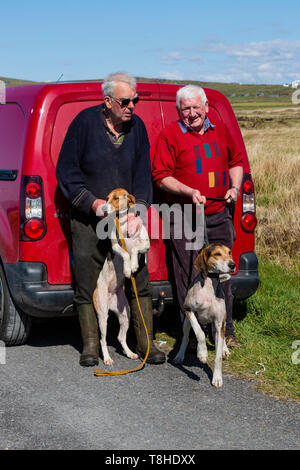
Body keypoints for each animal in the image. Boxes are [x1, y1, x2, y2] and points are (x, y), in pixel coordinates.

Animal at [92, 189, 150, 366]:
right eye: (106, 199)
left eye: (116, 198)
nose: (103, 209)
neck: (124, 224)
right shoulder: (116, 246)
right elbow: (125, 253)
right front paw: (127, 268)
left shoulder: (145, 244)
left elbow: (135, 249)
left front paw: (133, 265)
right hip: (102, 315)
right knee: (103, 339)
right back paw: (107, 358)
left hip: (126, 315)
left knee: (120, 337)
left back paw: (130, 353)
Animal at [175, 244, 236, 388]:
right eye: (217, 254)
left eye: (229, 252)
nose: (232, 264)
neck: (209, 286)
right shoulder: (188, 310)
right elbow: (200, 332)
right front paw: (202, 353)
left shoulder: (219, 323)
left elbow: (218, 357)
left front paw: (217, 377)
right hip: (186, 323)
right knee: (186, 338)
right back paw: (180, 355)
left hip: (222, 322)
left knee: (220, 337)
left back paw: (224, 349)